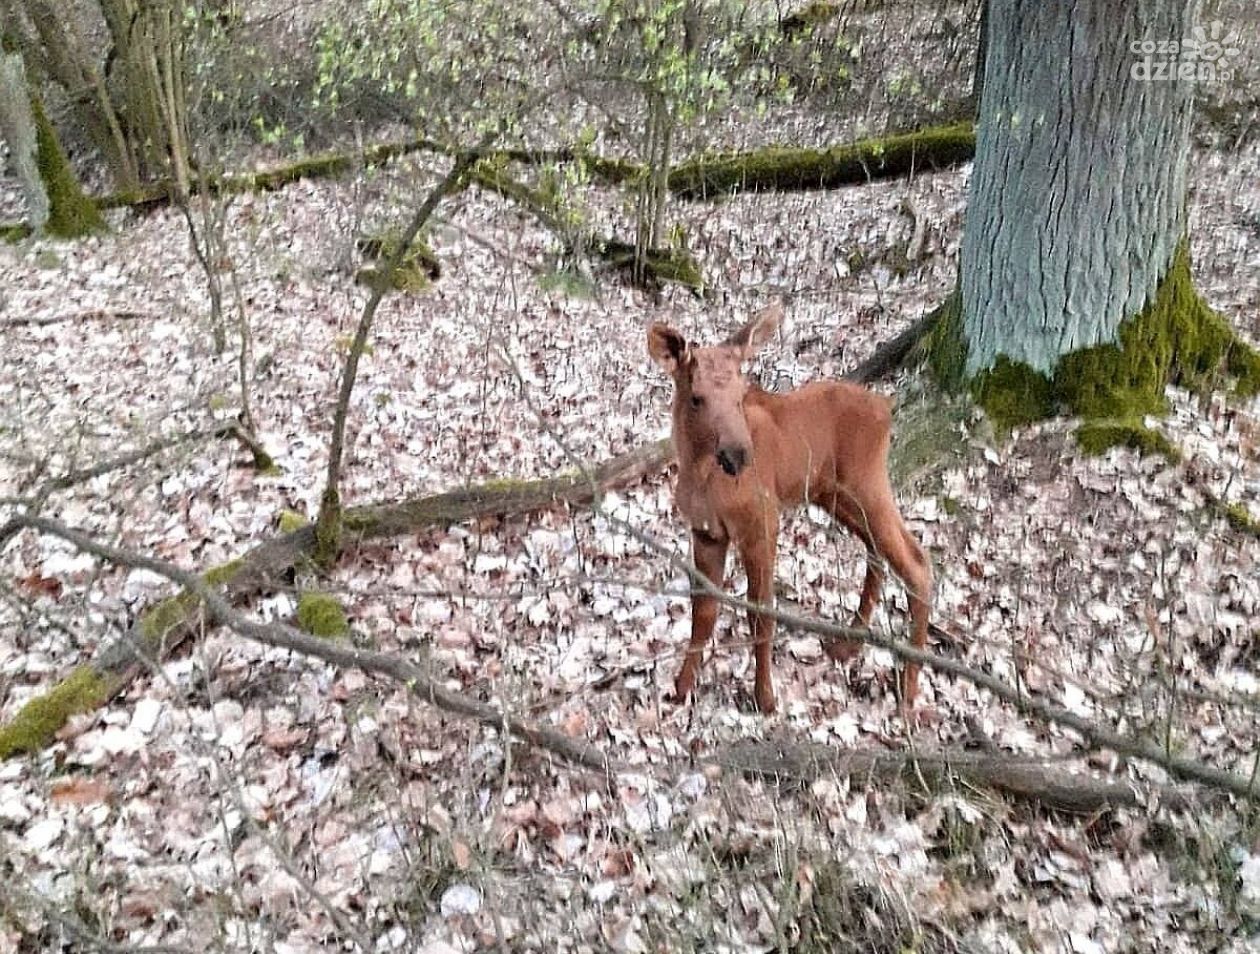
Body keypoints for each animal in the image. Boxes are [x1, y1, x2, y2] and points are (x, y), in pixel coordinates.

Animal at [655, 301, 932, 710]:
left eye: (741, 393)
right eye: (696, 396)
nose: (738, 454)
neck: (701, 477)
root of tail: (887, 405)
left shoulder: (762, 522)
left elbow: (761, 611)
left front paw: (765, 698)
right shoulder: (705, 532)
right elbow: (703, 613)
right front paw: (681, 688)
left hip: (867, 484)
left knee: (916, 562)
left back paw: (909, 692)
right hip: (833, 494)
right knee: (877, 551)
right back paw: (848, 646)